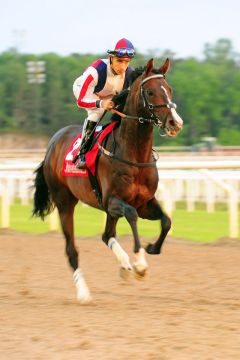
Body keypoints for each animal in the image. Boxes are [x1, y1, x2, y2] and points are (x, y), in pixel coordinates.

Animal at [32, 57, 184, 302]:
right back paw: (84, 293)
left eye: (169, 90)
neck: (134, 154)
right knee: (71, 249)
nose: (175, 123)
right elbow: (131, 215)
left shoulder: (144, 202)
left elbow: (167, 220)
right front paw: (140, 263)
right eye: (150, 92)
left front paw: (152, 248)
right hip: (65, 202)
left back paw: (124, 266)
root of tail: (52, 144)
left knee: (107, 235)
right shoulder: (112, 200)